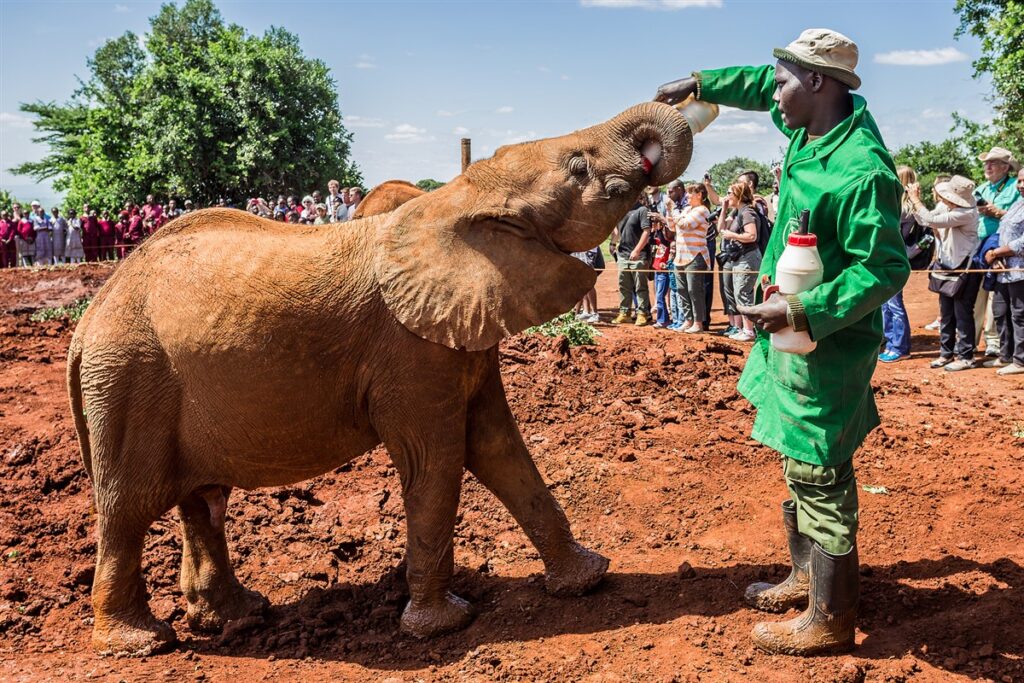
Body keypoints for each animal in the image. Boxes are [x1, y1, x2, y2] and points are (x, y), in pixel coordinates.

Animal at [67, 101, 693, 655]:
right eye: (579, 168)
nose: (672, 104)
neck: (456, 198)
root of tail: (88, 317)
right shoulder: (410, 352)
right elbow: (437, 461)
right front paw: (443, 625)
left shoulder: (460, 338)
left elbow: (498, 448)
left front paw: (588, 579)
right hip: (128, 380)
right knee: (127, 509)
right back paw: (140, 644)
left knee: (202, 500)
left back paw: (239, 615)